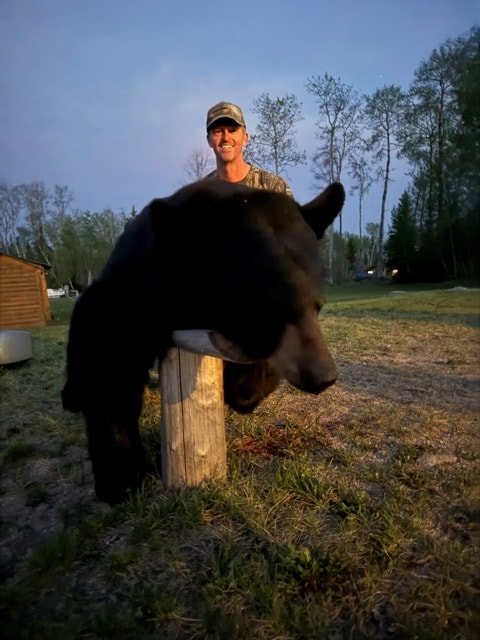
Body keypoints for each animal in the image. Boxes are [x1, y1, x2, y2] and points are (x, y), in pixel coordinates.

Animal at [62, 179, 345, 504]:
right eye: (270, 306)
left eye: (317, 306)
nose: (322, 376)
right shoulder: (140, 278)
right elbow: (106, 356)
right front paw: (122, 476)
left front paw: (244, 383)